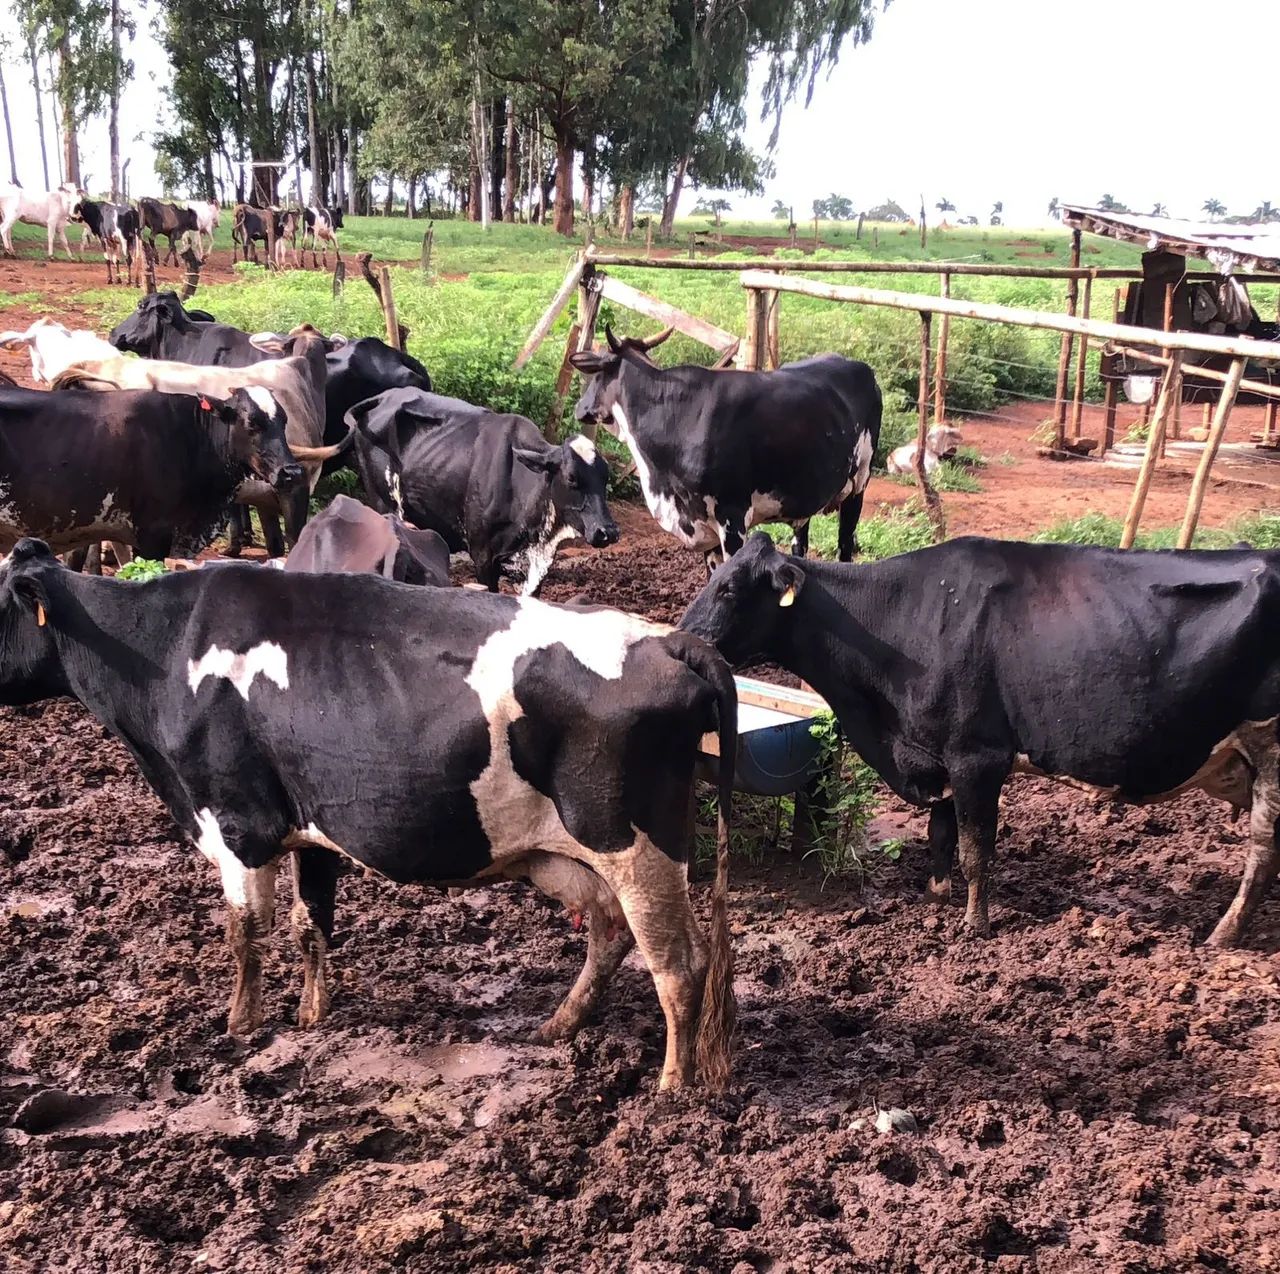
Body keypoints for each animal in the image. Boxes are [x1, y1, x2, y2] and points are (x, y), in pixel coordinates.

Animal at [0, 545, 737, 1090]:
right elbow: (310, 926)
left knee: (678, 962)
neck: (162, 650)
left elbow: (245, 933)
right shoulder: (312, 828)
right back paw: (558, 1027)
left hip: (636, 845)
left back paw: (672, 1088)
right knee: (610, 934)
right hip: (572, 856)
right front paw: (311, 1015)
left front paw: (241, 1027)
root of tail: (668, 641)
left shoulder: (237, 824)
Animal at [347, 388, 619, 594]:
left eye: (605, 476)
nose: (608, 532)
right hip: (383, 502)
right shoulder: (482, 556)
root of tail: (384, 396)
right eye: (571, 477)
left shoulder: (538, 564)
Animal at [571, 326, 882, 571]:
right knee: (800, 544)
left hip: (859, 484)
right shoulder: (704, 527)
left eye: (595, 374)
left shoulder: (733, 516)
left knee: (845, 545)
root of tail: (856, 364)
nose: (580, 408)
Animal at [681, 532, 1280, 948]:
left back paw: (1224, 935)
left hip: (1271, 749)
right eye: (712, 577)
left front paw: (974, 924)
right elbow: (940, 833)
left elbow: (976, 848)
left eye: (730, 588)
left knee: (1263, 850)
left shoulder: (977, 756)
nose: (684, 639)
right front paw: (935, 894)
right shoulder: (938, 753)